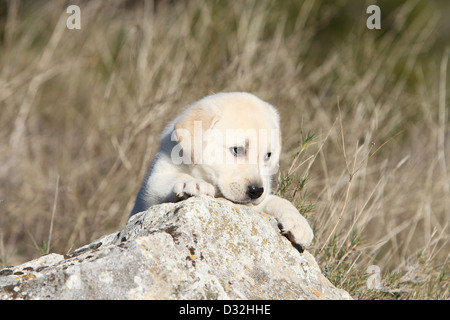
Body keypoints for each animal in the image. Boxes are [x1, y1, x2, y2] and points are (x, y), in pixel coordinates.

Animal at [130, 91, 312, 249]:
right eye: (237, 150)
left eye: (268, 155)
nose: (256, 191)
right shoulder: (151, 190)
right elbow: (173, 177)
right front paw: (193, 183)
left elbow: (279, 201)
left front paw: (299, 223)